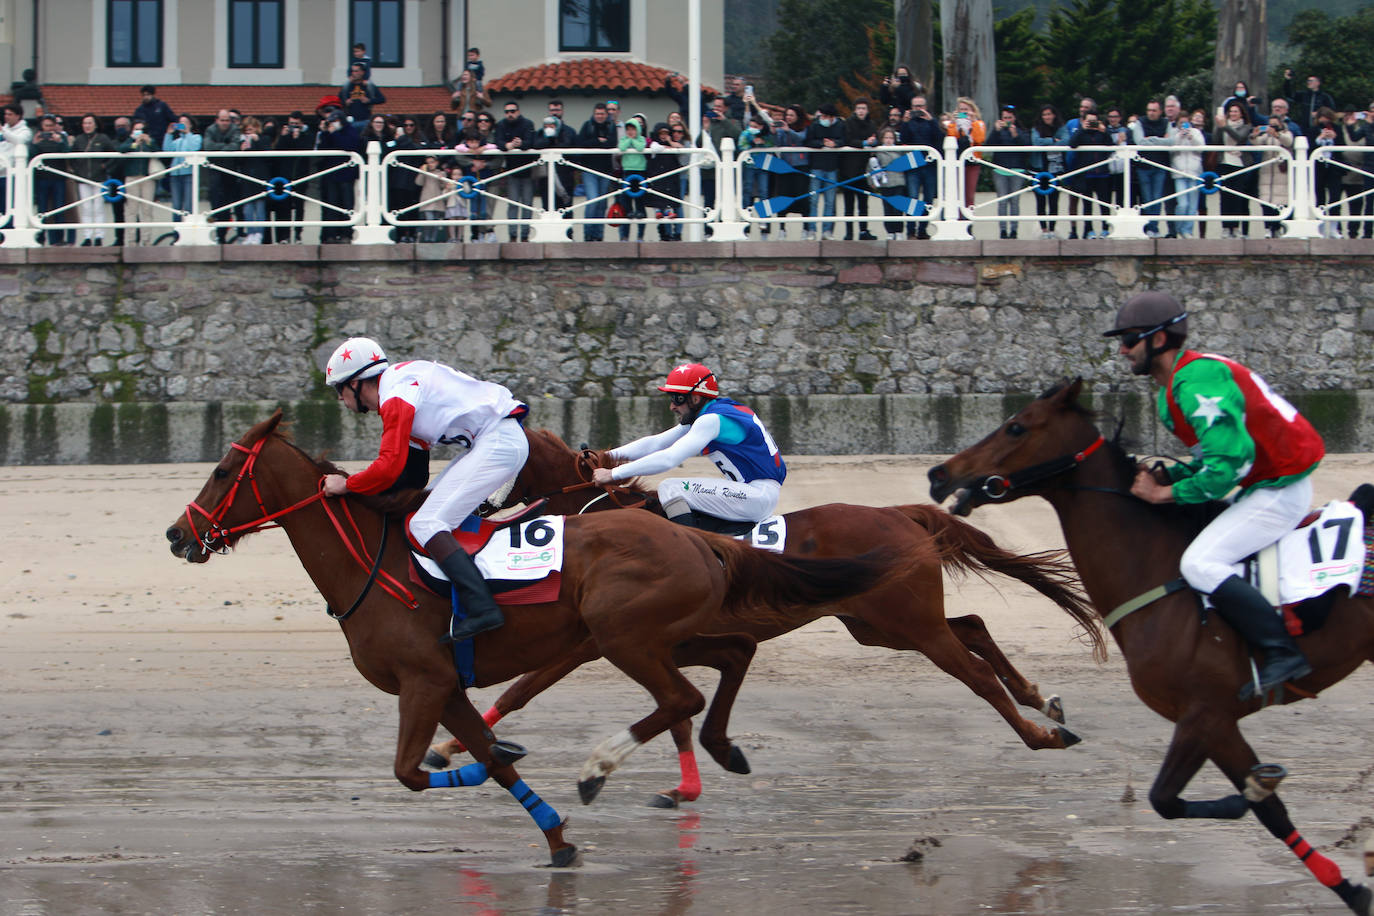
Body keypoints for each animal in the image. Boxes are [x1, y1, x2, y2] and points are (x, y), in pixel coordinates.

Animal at [163, 411, 901, 862]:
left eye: (224, 472)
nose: (177, 534)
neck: (376, 564)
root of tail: (698, 539)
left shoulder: (427, 681)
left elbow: (420, 767)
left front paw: (479, 759)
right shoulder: (445, 686)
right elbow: (490, 756)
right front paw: (555, 838)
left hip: (623, 636)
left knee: (681, 701)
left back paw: (600, 766)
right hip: (663, 635)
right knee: (724, 666)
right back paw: (715, 752)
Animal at [428, 425, 1104, 807]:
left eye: (503, 461)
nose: (473, 505)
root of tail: (900, 513)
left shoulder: (595, 642)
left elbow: (523, 688)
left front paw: (448, 744)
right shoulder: (656, 643)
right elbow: (677, 712)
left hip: (909, 625)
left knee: (974, 672)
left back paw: (1040, 731)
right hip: (883, 627)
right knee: (975, 628)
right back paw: (1044, 702)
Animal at [923, 379, 1374, 916]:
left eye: (1016, 426)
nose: (939, 474)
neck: (1159, 576)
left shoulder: (1205, 713)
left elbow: (1175, 799)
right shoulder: (1212, 721)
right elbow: (1251, 809)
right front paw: (1349, 887)